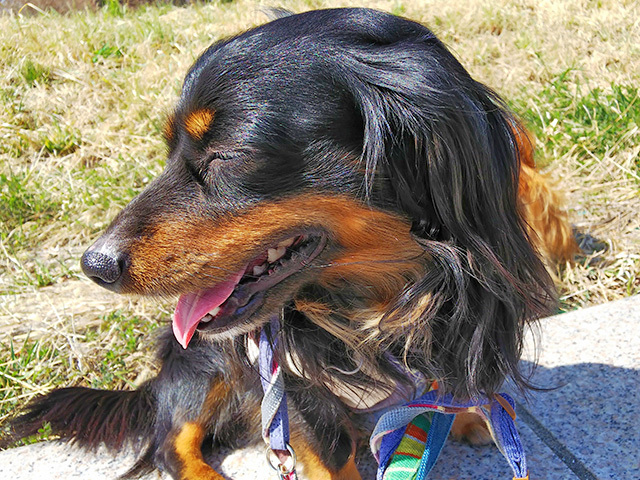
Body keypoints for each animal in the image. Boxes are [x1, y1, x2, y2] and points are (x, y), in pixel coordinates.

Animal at [2, 8, 577, 479]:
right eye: (168, 151)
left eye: (227, 154)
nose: (94, 265)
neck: (379, 295)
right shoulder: (292, 388)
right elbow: (327, 456)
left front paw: (462, 415)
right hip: (206, 362)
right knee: (173, 442)